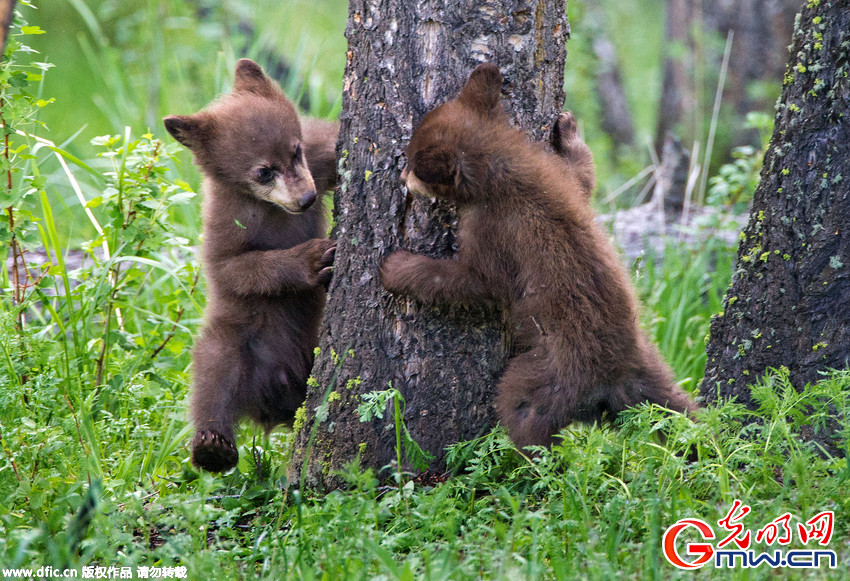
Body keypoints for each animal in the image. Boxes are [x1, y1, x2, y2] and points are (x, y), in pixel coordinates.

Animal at [163, 58, 338, 472]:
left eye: (295, 151)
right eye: (263, 171)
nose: (306, 199)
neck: (267, 206)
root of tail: (273, 404)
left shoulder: (317, 160)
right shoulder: (224, 223)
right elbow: (236, 267)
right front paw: (312, 258)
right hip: (231, 340)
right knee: (212, 378)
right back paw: (213, 448)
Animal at [381, 63, 697, 450]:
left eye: (412, 163)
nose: (401, 175)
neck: (505, 167)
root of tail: (613, 378)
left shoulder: (494, 227)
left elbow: (475, 280)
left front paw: (395, 268)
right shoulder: (560, 177)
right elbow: (584, 175)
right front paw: (568, 128)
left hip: (545, 374)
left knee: (524, 413)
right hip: (654, 371)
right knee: (680, 410)